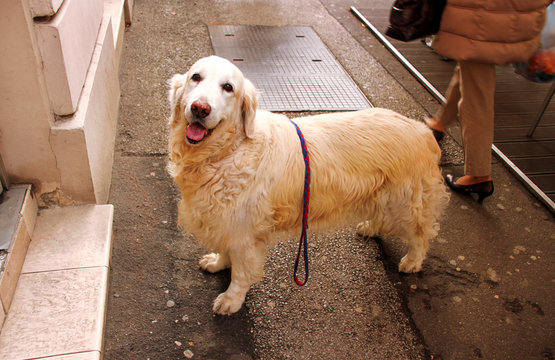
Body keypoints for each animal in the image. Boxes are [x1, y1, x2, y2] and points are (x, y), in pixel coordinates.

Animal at [167, 54, 450, 314]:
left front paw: (231, 300)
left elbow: (240, 273)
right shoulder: (226, 220)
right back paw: (371, 227)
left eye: (228, 87)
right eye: (196, 77)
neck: (227, 151)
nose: (200, 108)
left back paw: (412, 260)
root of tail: (422, 130)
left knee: (421, 233)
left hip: (404, 202)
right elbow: (226, 250)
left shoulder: (245, 230)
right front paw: (218, 262)